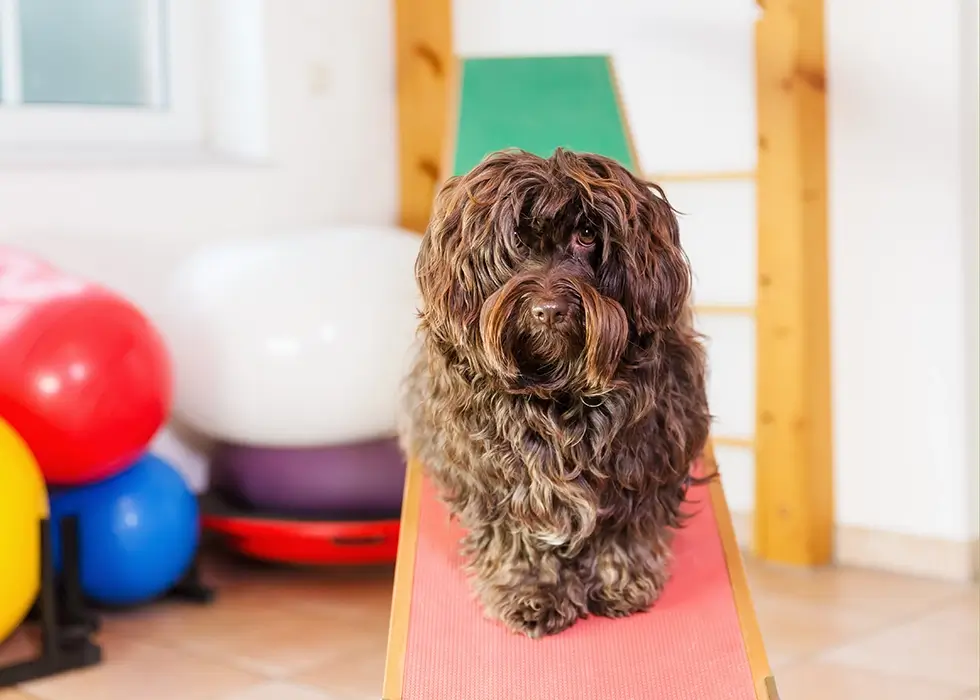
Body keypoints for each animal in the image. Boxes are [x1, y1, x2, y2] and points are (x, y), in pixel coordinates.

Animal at [398, 149, 712, 640]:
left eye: (586, 235)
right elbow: (519, 537)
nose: (549, 310)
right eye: (516, 241)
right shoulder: (497, 476)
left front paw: (621, 581)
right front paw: (533, 593)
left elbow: (624, 525)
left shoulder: (644, 456)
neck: (558, 389)